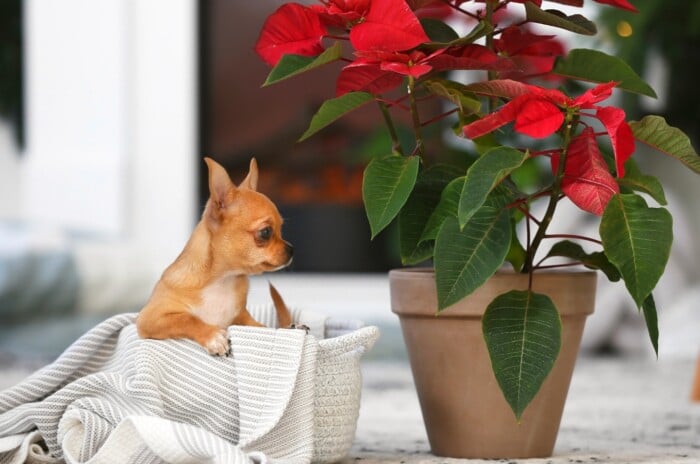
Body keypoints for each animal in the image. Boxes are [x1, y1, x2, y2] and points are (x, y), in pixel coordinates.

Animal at [138, 158, 294, 354]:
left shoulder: (242, 317)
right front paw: (213, 337)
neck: (222, 280)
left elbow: (260, 328)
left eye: (281, 228)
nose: (292, 249)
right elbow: (186, 318)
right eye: (266, 232)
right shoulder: (150, 318)